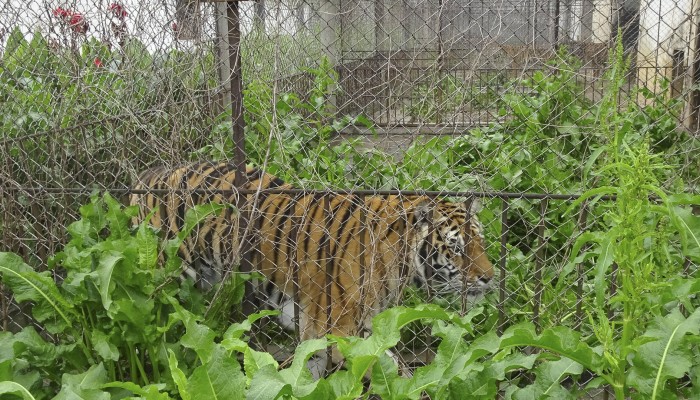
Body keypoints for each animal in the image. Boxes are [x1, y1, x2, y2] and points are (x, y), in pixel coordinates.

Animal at [130, 162, 492, 372]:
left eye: (481, 242)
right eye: (457, 249)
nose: (490, 278)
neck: (400, 264)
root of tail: (148, 174)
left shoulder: (326, 336)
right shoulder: (341, 335)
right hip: (164, 281)